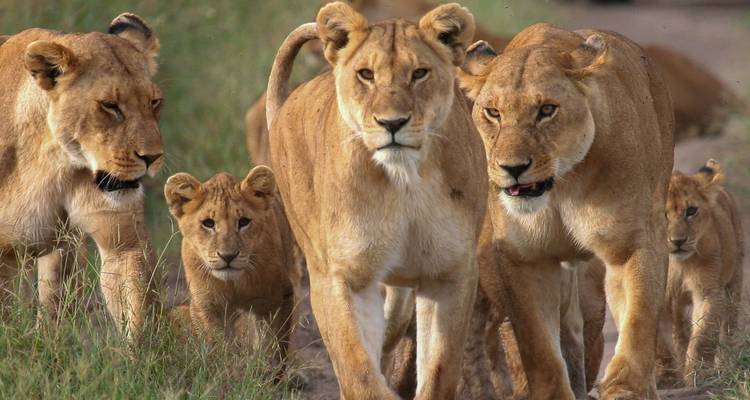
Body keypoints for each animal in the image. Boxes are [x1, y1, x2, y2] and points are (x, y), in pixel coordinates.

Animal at [0, 14, 163, 338]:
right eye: (110, 106)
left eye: (153, 102)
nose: (152, 158)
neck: (51, 160)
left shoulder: (121, 235)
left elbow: (136, 303)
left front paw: (138, 353)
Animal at [164, 165, 301, 377]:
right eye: (208, 223)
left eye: (244, 222)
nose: (227, 256)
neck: (234, 283)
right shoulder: (207, 305)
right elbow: (218, 348)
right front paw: (226, 375)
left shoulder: (276, 299)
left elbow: (273, 348)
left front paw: (264, 378)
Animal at [265, 2, 488, 398]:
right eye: (366, 75)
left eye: (419, 73)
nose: (392, 123)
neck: (404, 181)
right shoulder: (340, 276)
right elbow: (358, 369)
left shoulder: (451, 273)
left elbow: (439, 368)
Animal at [458, 23, 674, 399]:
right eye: (493, 113)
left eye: (547, 110)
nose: (512, 168)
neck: (561, 187)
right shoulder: (523, 257)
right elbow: (538, 343)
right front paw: (551, 392)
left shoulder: (633, 243)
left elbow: (638, 315)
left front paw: (627, 387)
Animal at [658, 159, 744, 386]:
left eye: (691, 211)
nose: (678, 241)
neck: (676, 264)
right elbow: (660, 342)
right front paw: (666, 376)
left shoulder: (709, 292)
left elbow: (702, 336)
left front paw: (698, 373)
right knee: (679, 330)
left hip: (734, 281)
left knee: (728, 326)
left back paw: (726, 363)